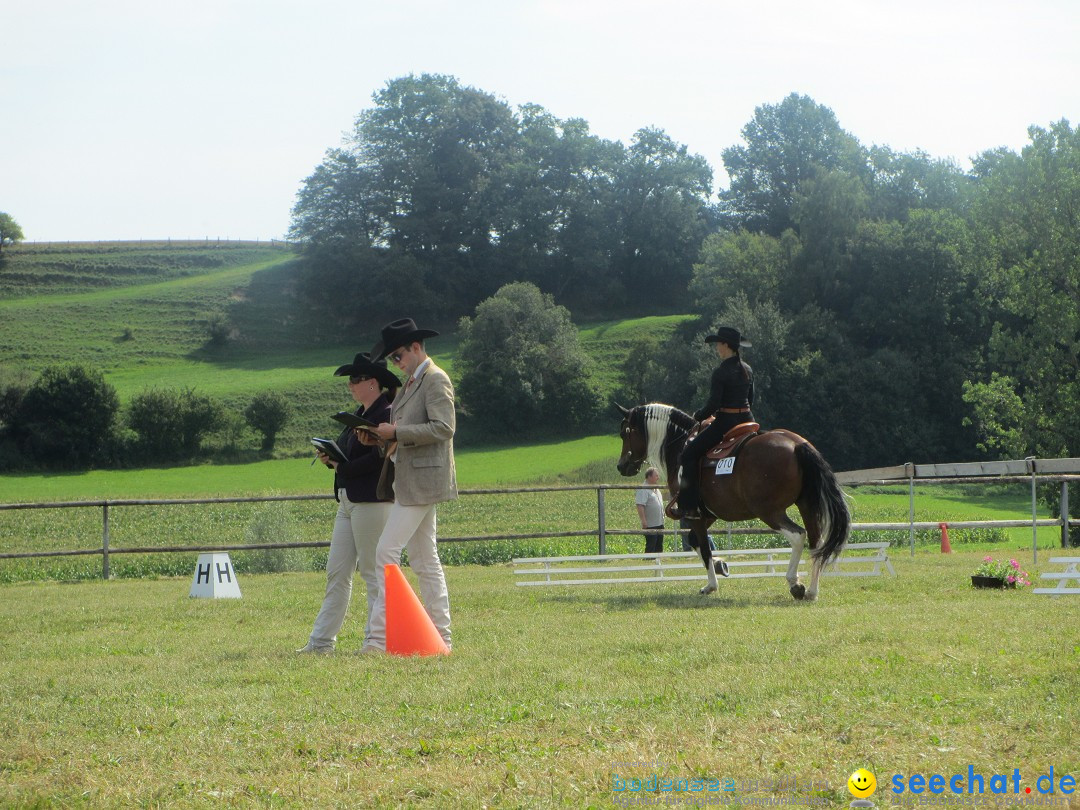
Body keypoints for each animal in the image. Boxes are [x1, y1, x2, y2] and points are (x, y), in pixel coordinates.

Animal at [617, 406, 851, 604]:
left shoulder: (695, 515)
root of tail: (796, 445)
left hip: (769, 511)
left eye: (624, 433)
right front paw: (721, 565)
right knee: (816, 542)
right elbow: (695, 541)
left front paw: (711, 585)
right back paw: (812, 591)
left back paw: (795, 583)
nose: (621, 466)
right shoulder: (709, 514)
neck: (682, 444)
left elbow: (703, 547)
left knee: (798, 536)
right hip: (806, 505)